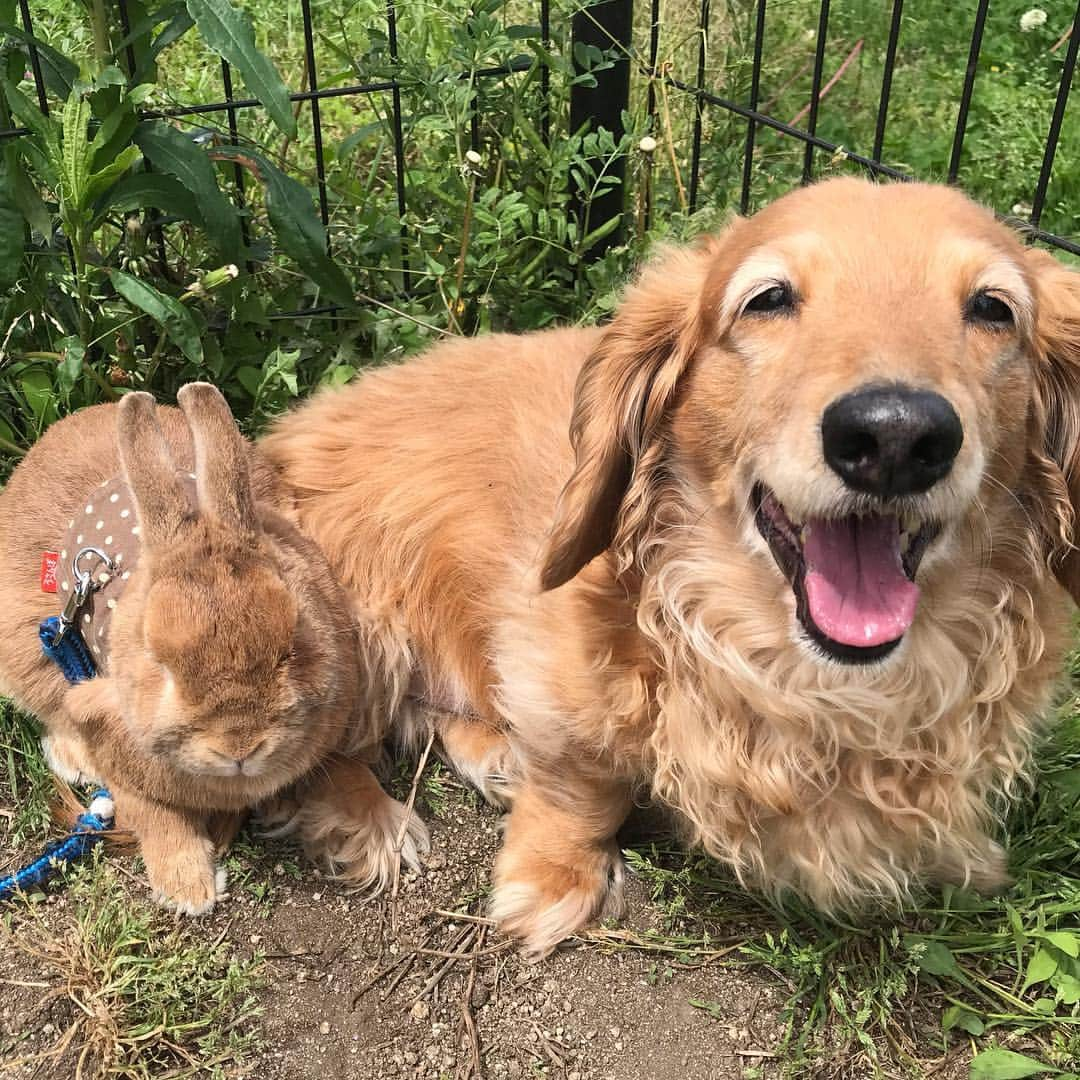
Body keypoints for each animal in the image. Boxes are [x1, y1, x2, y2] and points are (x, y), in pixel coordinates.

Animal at [265, 179, 1080, 954]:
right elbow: (582, 788)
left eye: (993, 309)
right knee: (310, 755)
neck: (804, 678)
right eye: (768, 298)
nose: (896, 437)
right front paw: (551, 880)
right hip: (355, 626)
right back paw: (370, 817)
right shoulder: (559, 673)